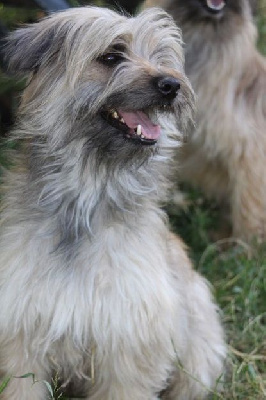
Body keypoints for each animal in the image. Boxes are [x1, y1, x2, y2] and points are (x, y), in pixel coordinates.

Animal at [0, 7, 224, 400]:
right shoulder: (21, 334)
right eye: (111, 56)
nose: (172, 85)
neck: (86, 198)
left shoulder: (129, 340)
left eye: (160, 57)